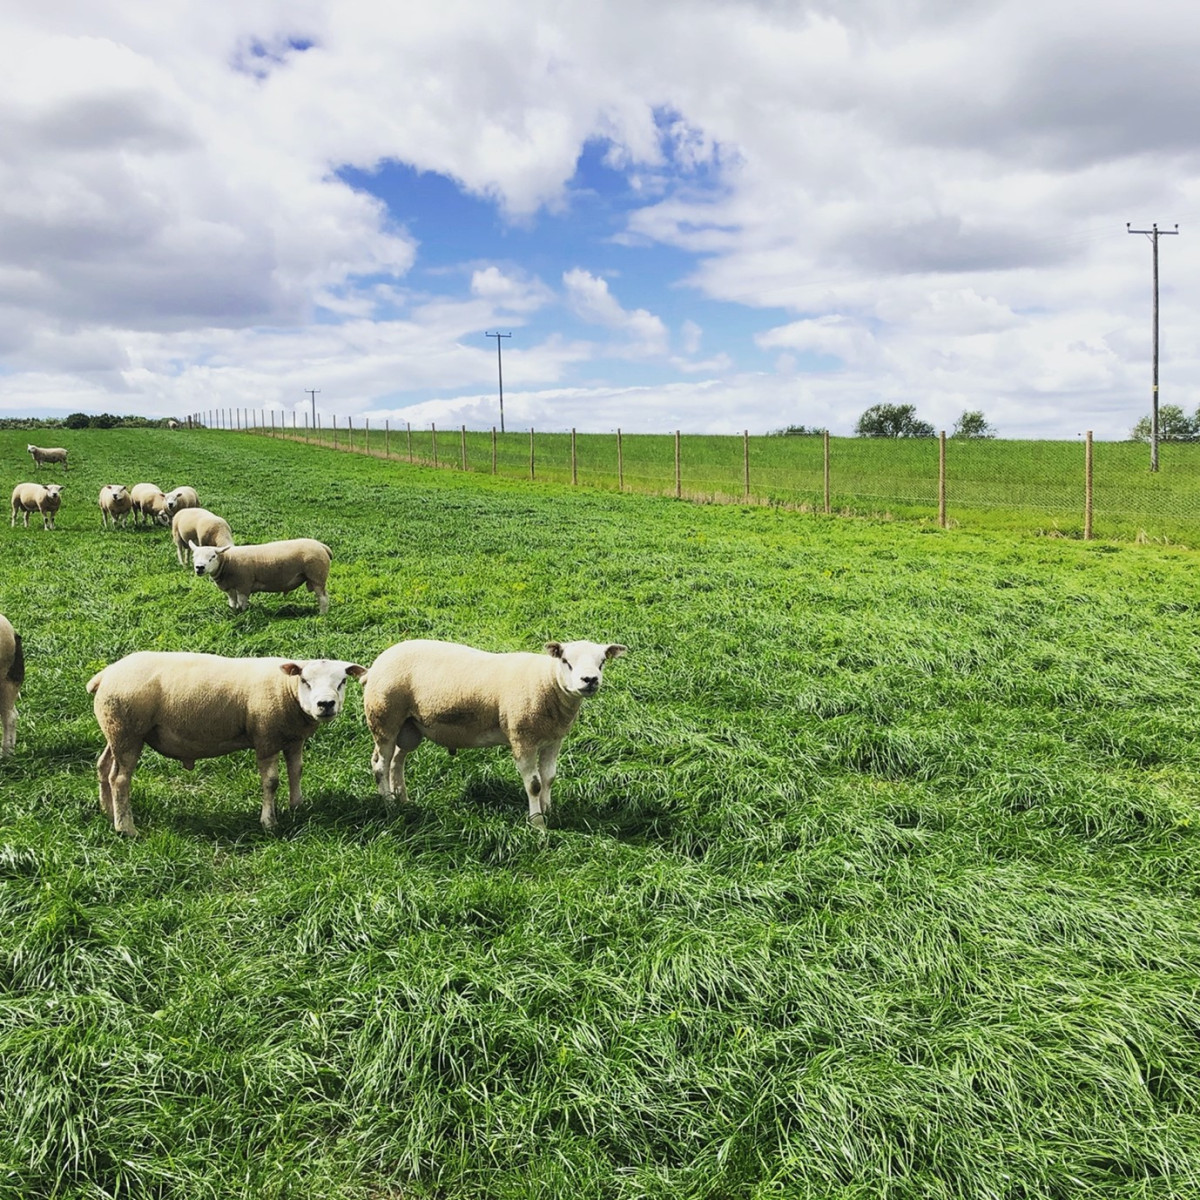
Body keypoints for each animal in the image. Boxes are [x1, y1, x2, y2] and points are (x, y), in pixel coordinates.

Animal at [87, 652, 367, 835]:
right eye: (305, 681)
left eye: (342, 681)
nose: (326, 704)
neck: (286, 689)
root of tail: (105, 674)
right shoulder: (265, 737)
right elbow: (271, 782)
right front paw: (268, 822)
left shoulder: (293, 739)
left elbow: (296, 771)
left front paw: (297, 807)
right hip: (127, 731)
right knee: (119, 779)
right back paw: (126, 828)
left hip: (115, 731)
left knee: (103, 766)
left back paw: (108, 812)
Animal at [189, 539, 333, 613]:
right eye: (194, 556)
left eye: (213, 556)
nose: (200, 567)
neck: (227, 562)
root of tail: (322, 546)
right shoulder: (230, 588)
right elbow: (232, 602)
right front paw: (234, 612)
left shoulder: (244, 584)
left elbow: (242, 602)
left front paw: (243, 613)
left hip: (317, 576)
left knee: (323, 598)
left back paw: (321, 614)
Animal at [363, 639, 627, 828]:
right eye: (565, 661)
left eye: (602, 662)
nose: (590, 680)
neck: (547, 683)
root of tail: (373, 666)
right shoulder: (522, 738)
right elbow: (534, 784)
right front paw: (538, 824)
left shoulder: (554, 740)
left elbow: (549, 778)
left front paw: (549, 811)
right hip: (384, 718)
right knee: (380, 764)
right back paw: (389, 804)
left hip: (409, 727)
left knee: (396, 761)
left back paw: (403, 800)